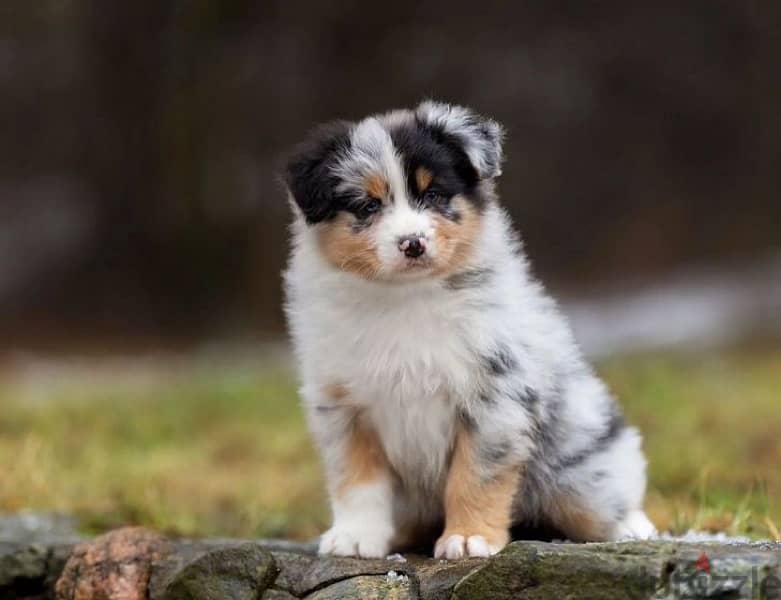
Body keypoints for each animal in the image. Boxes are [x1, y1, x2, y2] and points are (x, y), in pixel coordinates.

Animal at [280, 99, 652, 556]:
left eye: (434, 194)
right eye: (368, 206)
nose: (413, 243)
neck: (405, 298)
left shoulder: (493, 395)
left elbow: (475, 475)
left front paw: (468, 537)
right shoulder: (343, 408)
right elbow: (356, 479)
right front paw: (355, 536)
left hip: (578, 469)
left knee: (604, 498)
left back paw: (632, 527)